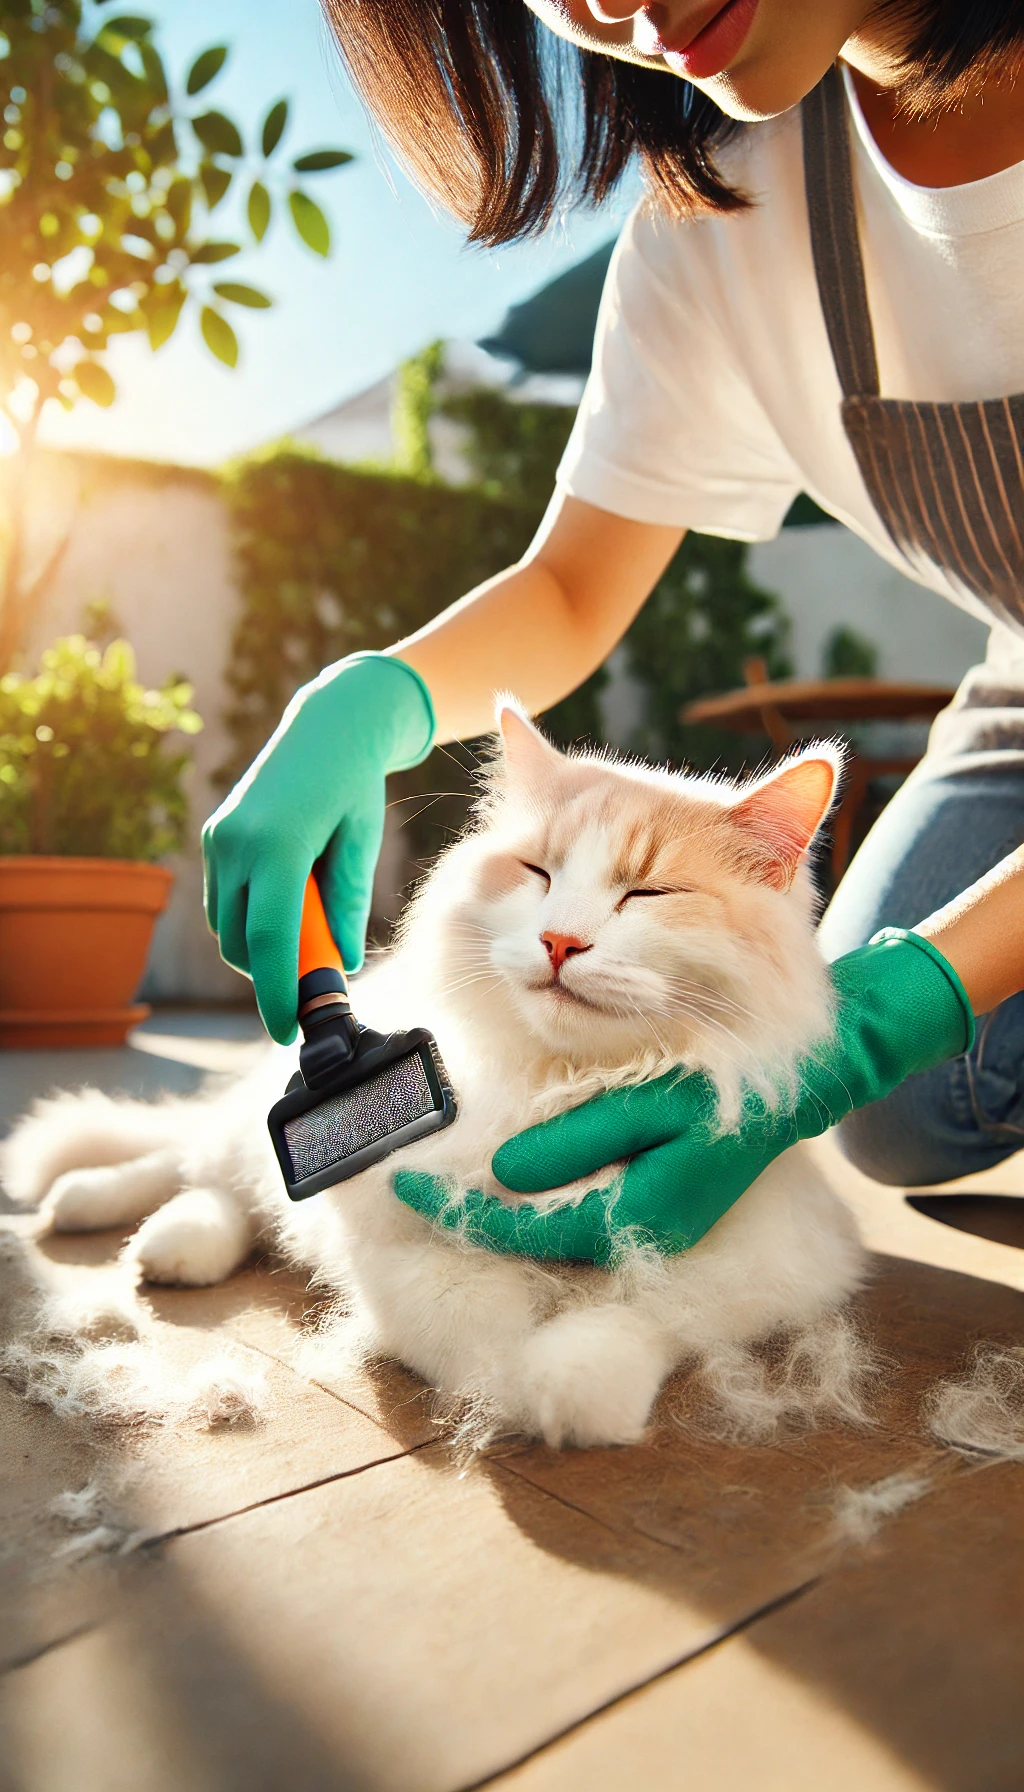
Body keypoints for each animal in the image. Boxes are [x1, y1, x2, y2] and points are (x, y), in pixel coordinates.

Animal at [2, 706, 875, 1447]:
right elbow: (480, 1325)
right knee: (202, 1173)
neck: (559, 1087)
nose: (560, 941)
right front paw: (509, 1394)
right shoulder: (398, 1248)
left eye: (648, 893)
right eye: (538, 874)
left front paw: (570, 1391)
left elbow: (638, 1317)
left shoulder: (747, 1258)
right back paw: (109, 1219)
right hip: (245, 1134)